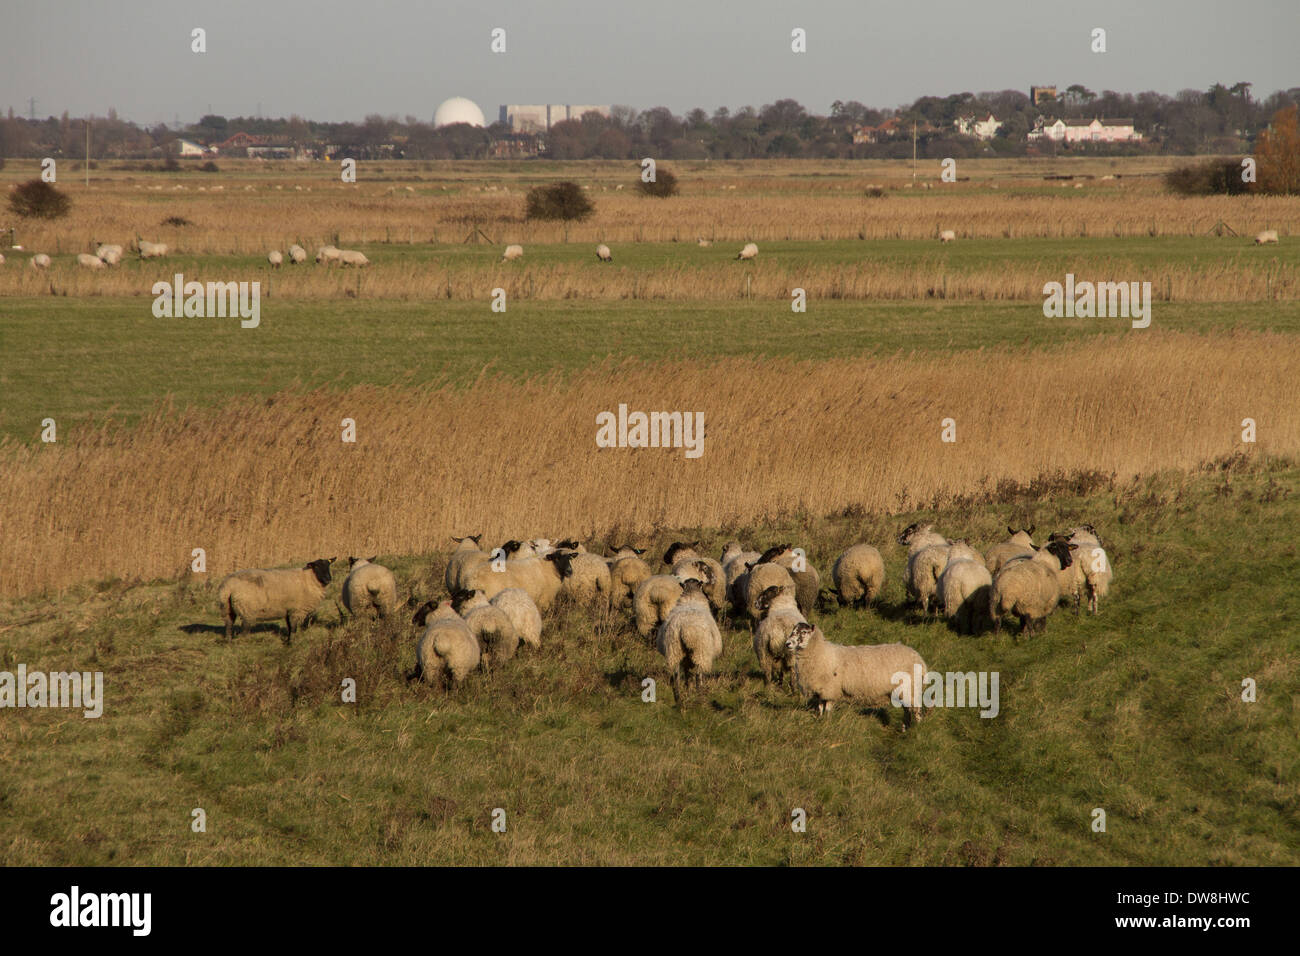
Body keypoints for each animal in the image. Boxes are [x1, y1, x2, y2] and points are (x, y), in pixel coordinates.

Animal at [780, 621, 925, 723]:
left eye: (804, 632)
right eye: (793, 631)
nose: (787, 644)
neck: (820, 652)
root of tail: (917, 656)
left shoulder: (831, 689)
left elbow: (828, 708)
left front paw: (827, 721)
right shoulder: (821, 690)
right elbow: (820, 707)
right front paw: (820, 720)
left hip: (911, 687)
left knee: (916, 709)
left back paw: (916, 728)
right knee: (908, 710)